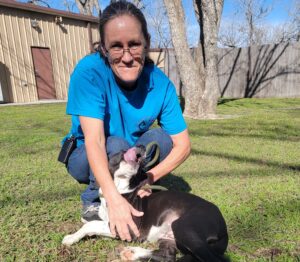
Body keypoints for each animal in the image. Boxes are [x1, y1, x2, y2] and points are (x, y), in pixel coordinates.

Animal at [62, 144, 229, 260]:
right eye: (122, 150)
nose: (142, 146)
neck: (120, 189)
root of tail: (224, 227)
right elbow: (92, 223)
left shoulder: (127, 227)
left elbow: (90, 225)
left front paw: (70, 238)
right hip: (169, 237)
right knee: (168, 256)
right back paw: (134, 253)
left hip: (184, 226)